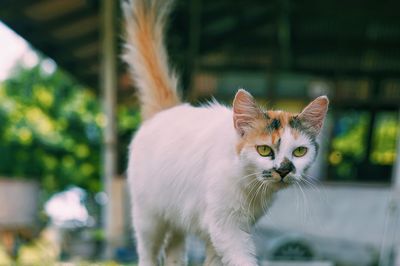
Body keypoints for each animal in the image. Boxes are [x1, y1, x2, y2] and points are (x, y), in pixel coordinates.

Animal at [122, 0, 328, 266]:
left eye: (300, 151)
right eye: (264, 150)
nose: (283, 170)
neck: (249, 185)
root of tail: (169, 110)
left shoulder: (224, 231)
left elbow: (215, 260)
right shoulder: (225, 226)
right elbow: (242, 258)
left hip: (177, 217)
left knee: (174, 250)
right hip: (149, 217)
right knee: (148, 252)